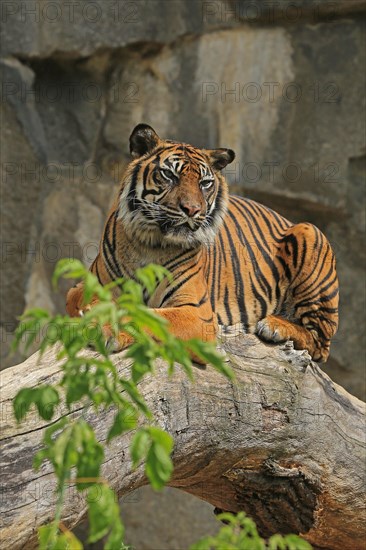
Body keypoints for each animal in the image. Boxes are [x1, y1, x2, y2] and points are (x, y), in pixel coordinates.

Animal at [66, 123, 338, 364]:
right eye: (169, 175)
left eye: (205, 183)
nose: (192, 210)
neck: (150, 244)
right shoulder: (88, 286)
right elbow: (83, 298)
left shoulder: (197, 313)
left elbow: (148, 316)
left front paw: (105, 327)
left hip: (310, 233)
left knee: (320, 344)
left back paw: (274, 326)